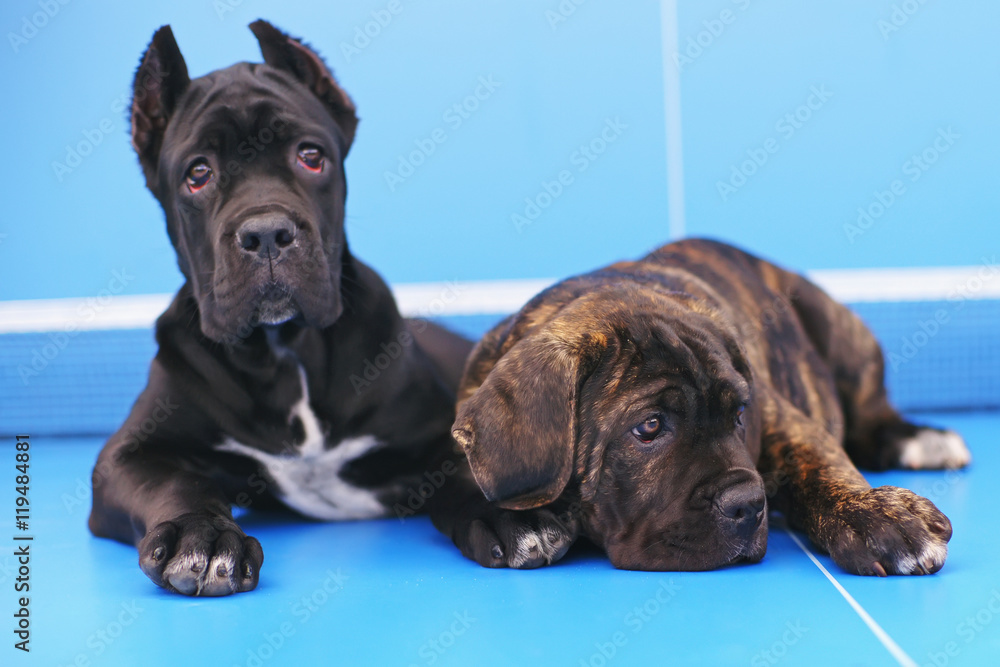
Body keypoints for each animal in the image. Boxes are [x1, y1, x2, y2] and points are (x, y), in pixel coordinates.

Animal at [89, 20, 472, 596]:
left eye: (310, 156)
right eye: (198, 174)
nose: (267, 232)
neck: (283, 348)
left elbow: (472, 464)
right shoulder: (127, 455)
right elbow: (177, 482)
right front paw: (200, 537)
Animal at [438, 239, 968, 576]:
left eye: (739, 416)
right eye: (649, 427)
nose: (749, 502)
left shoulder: (787, 426)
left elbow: (822, 467)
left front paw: (877, 515)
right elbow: (457, 485)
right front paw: (510, 521)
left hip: (843, 336)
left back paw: (920, 440)